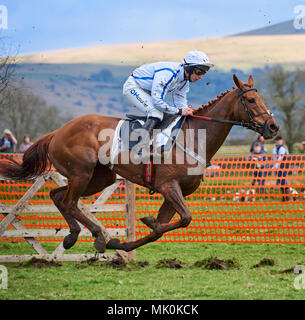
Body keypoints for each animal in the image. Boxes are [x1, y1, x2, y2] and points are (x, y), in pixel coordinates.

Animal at [0, 74, 278, 252]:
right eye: (251, 100)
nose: (273, 127)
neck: (194, 137)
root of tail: (57, 132)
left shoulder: (175, 192)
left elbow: (162, 229)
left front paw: (123, 242)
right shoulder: (168, 186)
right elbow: (183, 219)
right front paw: (138, 228)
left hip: (99, 178)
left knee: (58, 196)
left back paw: (76, 236)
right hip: (81, 174)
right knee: (68, 201)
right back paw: (95, 236)